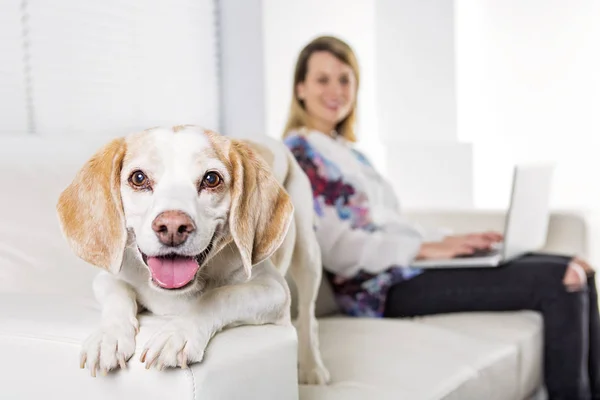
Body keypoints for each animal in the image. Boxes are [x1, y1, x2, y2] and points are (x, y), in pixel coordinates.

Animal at [56, 125, 328, 384]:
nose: (172, 227)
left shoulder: (274, 290)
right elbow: (118, 293)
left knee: (308, 316)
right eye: (139, 178)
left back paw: (312, 367)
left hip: (308, 255)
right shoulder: (106, 277)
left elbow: (219, 295)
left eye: (211, 179)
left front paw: (178, 333)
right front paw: (108, 337)